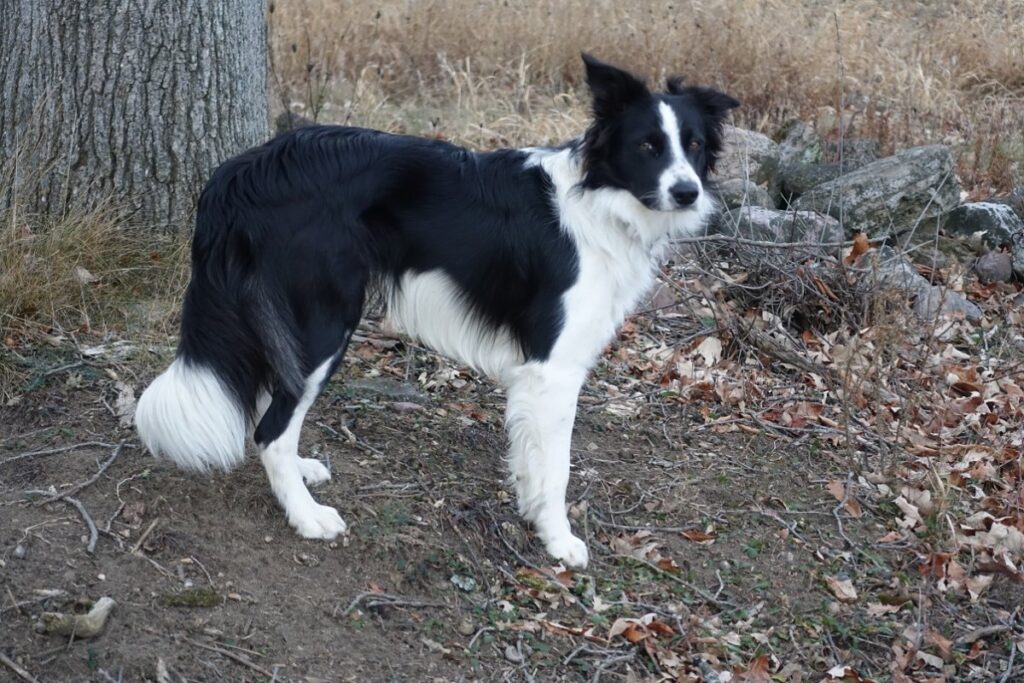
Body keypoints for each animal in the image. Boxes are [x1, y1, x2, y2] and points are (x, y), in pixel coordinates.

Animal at [136, 53, 741, 569]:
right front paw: (558, 538)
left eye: (692, 144)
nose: (687, 192)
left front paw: (530, 511)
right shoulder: (553, 368)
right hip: (326, 321)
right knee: (271, 428)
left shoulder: (535, 376)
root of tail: (242, 170)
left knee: (272, 397)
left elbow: (531, 457)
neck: (600, 200)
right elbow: (559, 466)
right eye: (647, 147)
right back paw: (306, 516)